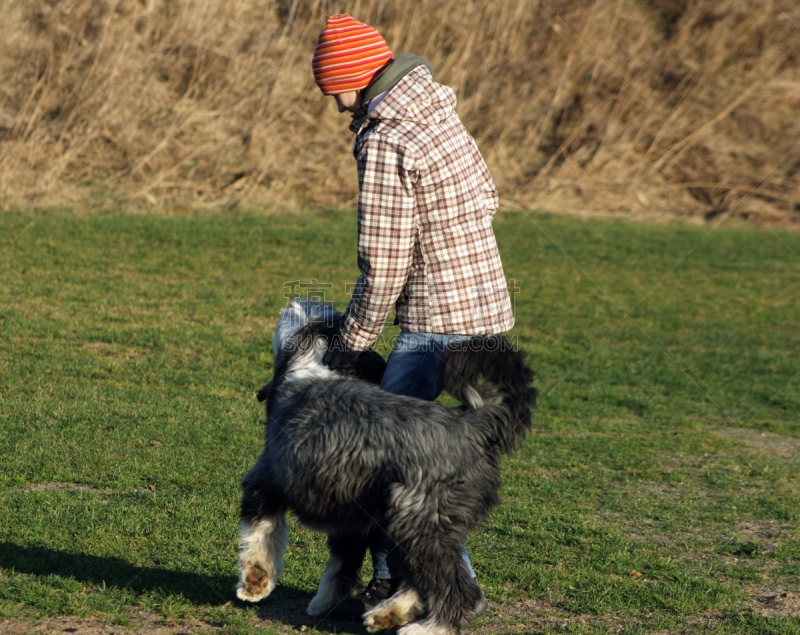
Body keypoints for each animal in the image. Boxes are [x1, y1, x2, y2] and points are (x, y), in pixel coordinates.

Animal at [238, 304, 536, 635]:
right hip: (408, 520)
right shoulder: (349, 515)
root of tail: (473, 424)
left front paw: (254, 584)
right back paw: (388, 613)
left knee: (456, 588)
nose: (291, 306)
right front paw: (324, 602)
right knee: (421, 579)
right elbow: (342, 564)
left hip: (416, 521)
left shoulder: (267, 480)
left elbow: (261, 534)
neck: (311, 368)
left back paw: (428, 628)